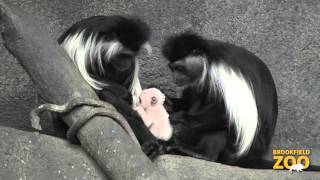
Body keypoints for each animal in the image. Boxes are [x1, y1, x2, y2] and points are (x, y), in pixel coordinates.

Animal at [57, 15, 162, 153]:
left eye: (132, 55)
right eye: (123, 54)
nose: (128, 63)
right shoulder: (86, 50)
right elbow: (89, 80)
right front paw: (123, 92)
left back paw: (151, 145)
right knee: (110, 96)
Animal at [161, 31, 278, 168]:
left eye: (180, 68)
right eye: (172, 68)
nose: (175, 79)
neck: (208, 61)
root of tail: (254, 157)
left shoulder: (219, 73)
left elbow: (228, 113)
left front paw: (184, 118)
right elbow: (191, 99)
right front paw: (168, 103)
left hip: (236, 147)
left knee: (224, 123)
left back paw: (201, 153)